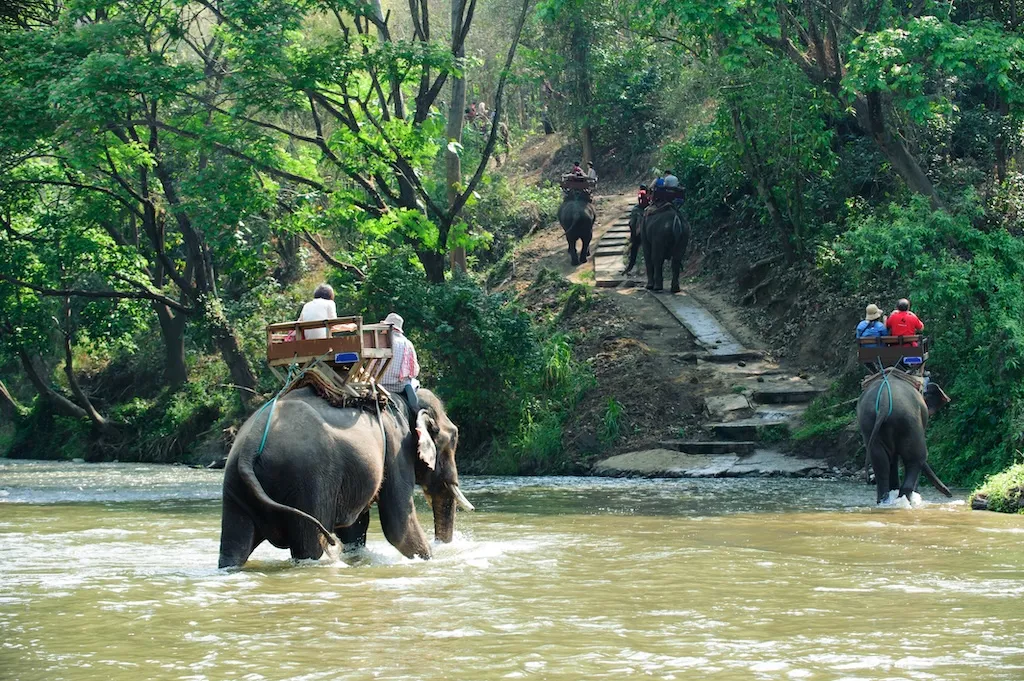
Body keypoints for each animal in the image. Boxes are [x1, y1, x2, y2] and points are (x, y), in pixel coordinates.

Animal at [218, 387, 473, 569]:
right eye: (454, 438)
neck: (404, 399)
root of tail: (250, 445)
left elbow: (355, 529)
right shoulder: (396, 448)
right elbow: (397, 523)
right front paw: (428, 559)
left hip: (235, 486)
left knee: (233, 546)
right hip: (310, 482)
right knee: (310, 546)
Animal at [860, 372, 954, 503]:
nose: (950, 494)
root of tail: (884, 402)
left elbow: (892, 460)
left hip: (870, 424)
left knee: (880, 463)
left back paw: (885, 500)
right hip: (909, 422)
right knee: (916, 459)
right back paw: (907, 499)